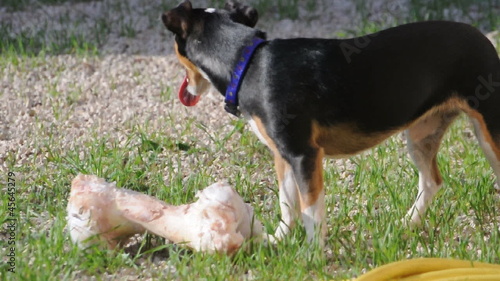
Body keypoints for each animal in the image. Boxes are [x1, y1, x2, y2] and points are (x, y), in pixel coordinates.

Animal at [162, 1, 498, 243]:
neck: (248, 64)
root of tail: (483, 38)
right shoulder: (283, 156)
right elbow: (288, 206)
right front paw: (278, 241)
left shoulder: (304, 155)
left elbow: (311, 211)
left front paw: (312, 255)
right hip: (420, 136)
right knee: (431, 181)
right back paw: (407, 224)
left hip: (489, 132)